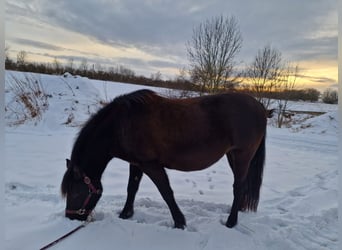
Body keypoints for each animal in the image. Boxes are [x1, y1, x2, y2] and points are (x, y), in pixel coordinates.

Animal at [62, 90, 268, 229]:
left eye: (75, 192)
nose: (71, 218)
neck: (121, 125)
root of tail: (259, 107)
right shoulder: (136, 164)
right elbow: (132, 188)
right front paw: (125, 214)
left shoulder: (151, 165)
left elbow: (166, 192)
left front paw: (179, 222)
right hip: (233, 156)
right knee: (241, 186)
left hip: (242, 155)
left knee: (238, 186)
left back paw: (231, 222)